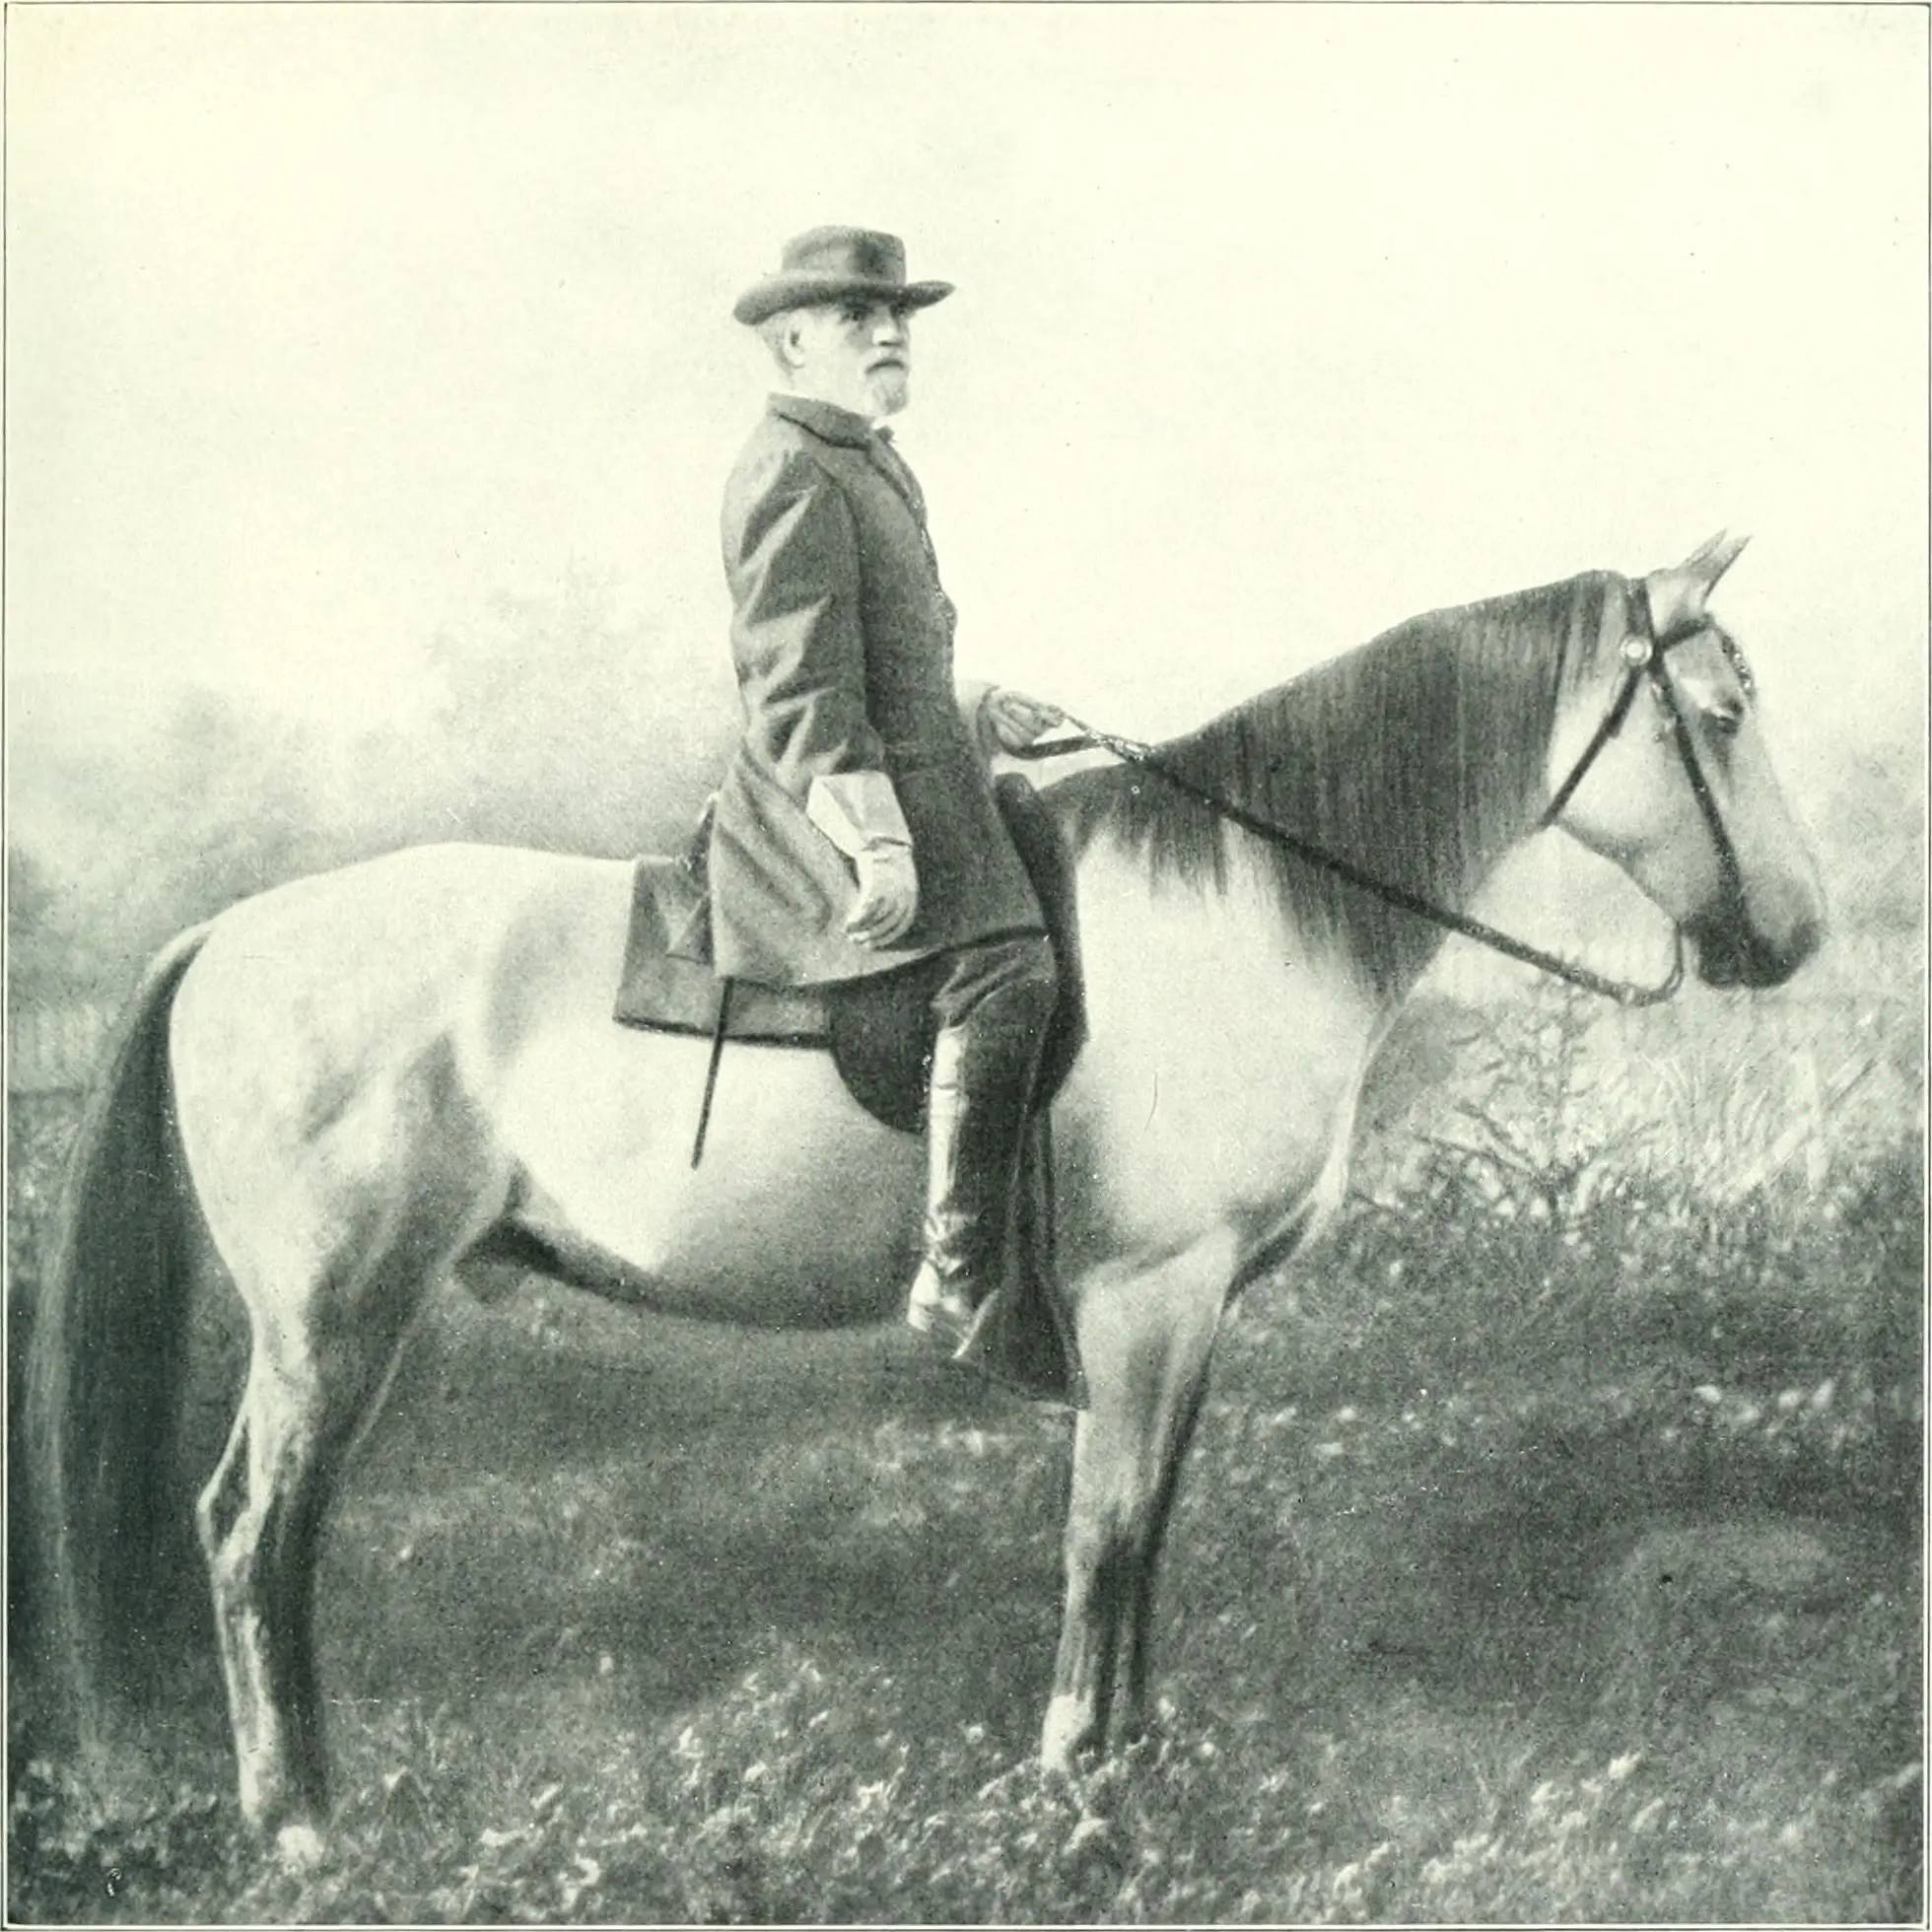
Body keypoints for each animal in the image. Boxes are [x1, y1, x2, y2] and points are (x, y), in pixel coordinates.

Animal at [25, 535, 1823, 1861]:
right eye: (1723, 711)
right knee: (255, 1534)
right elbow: (1107, 1531)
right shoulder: (1148, 1297)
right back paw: (302, 1827)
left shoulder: (1187, 1316)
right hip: (333, 1320)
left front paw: (1140, 1761)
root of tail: (230, 933)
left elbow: (1150, 1526)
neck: (1252, 908)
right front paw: (1078, 1786)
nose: (1794, 935)